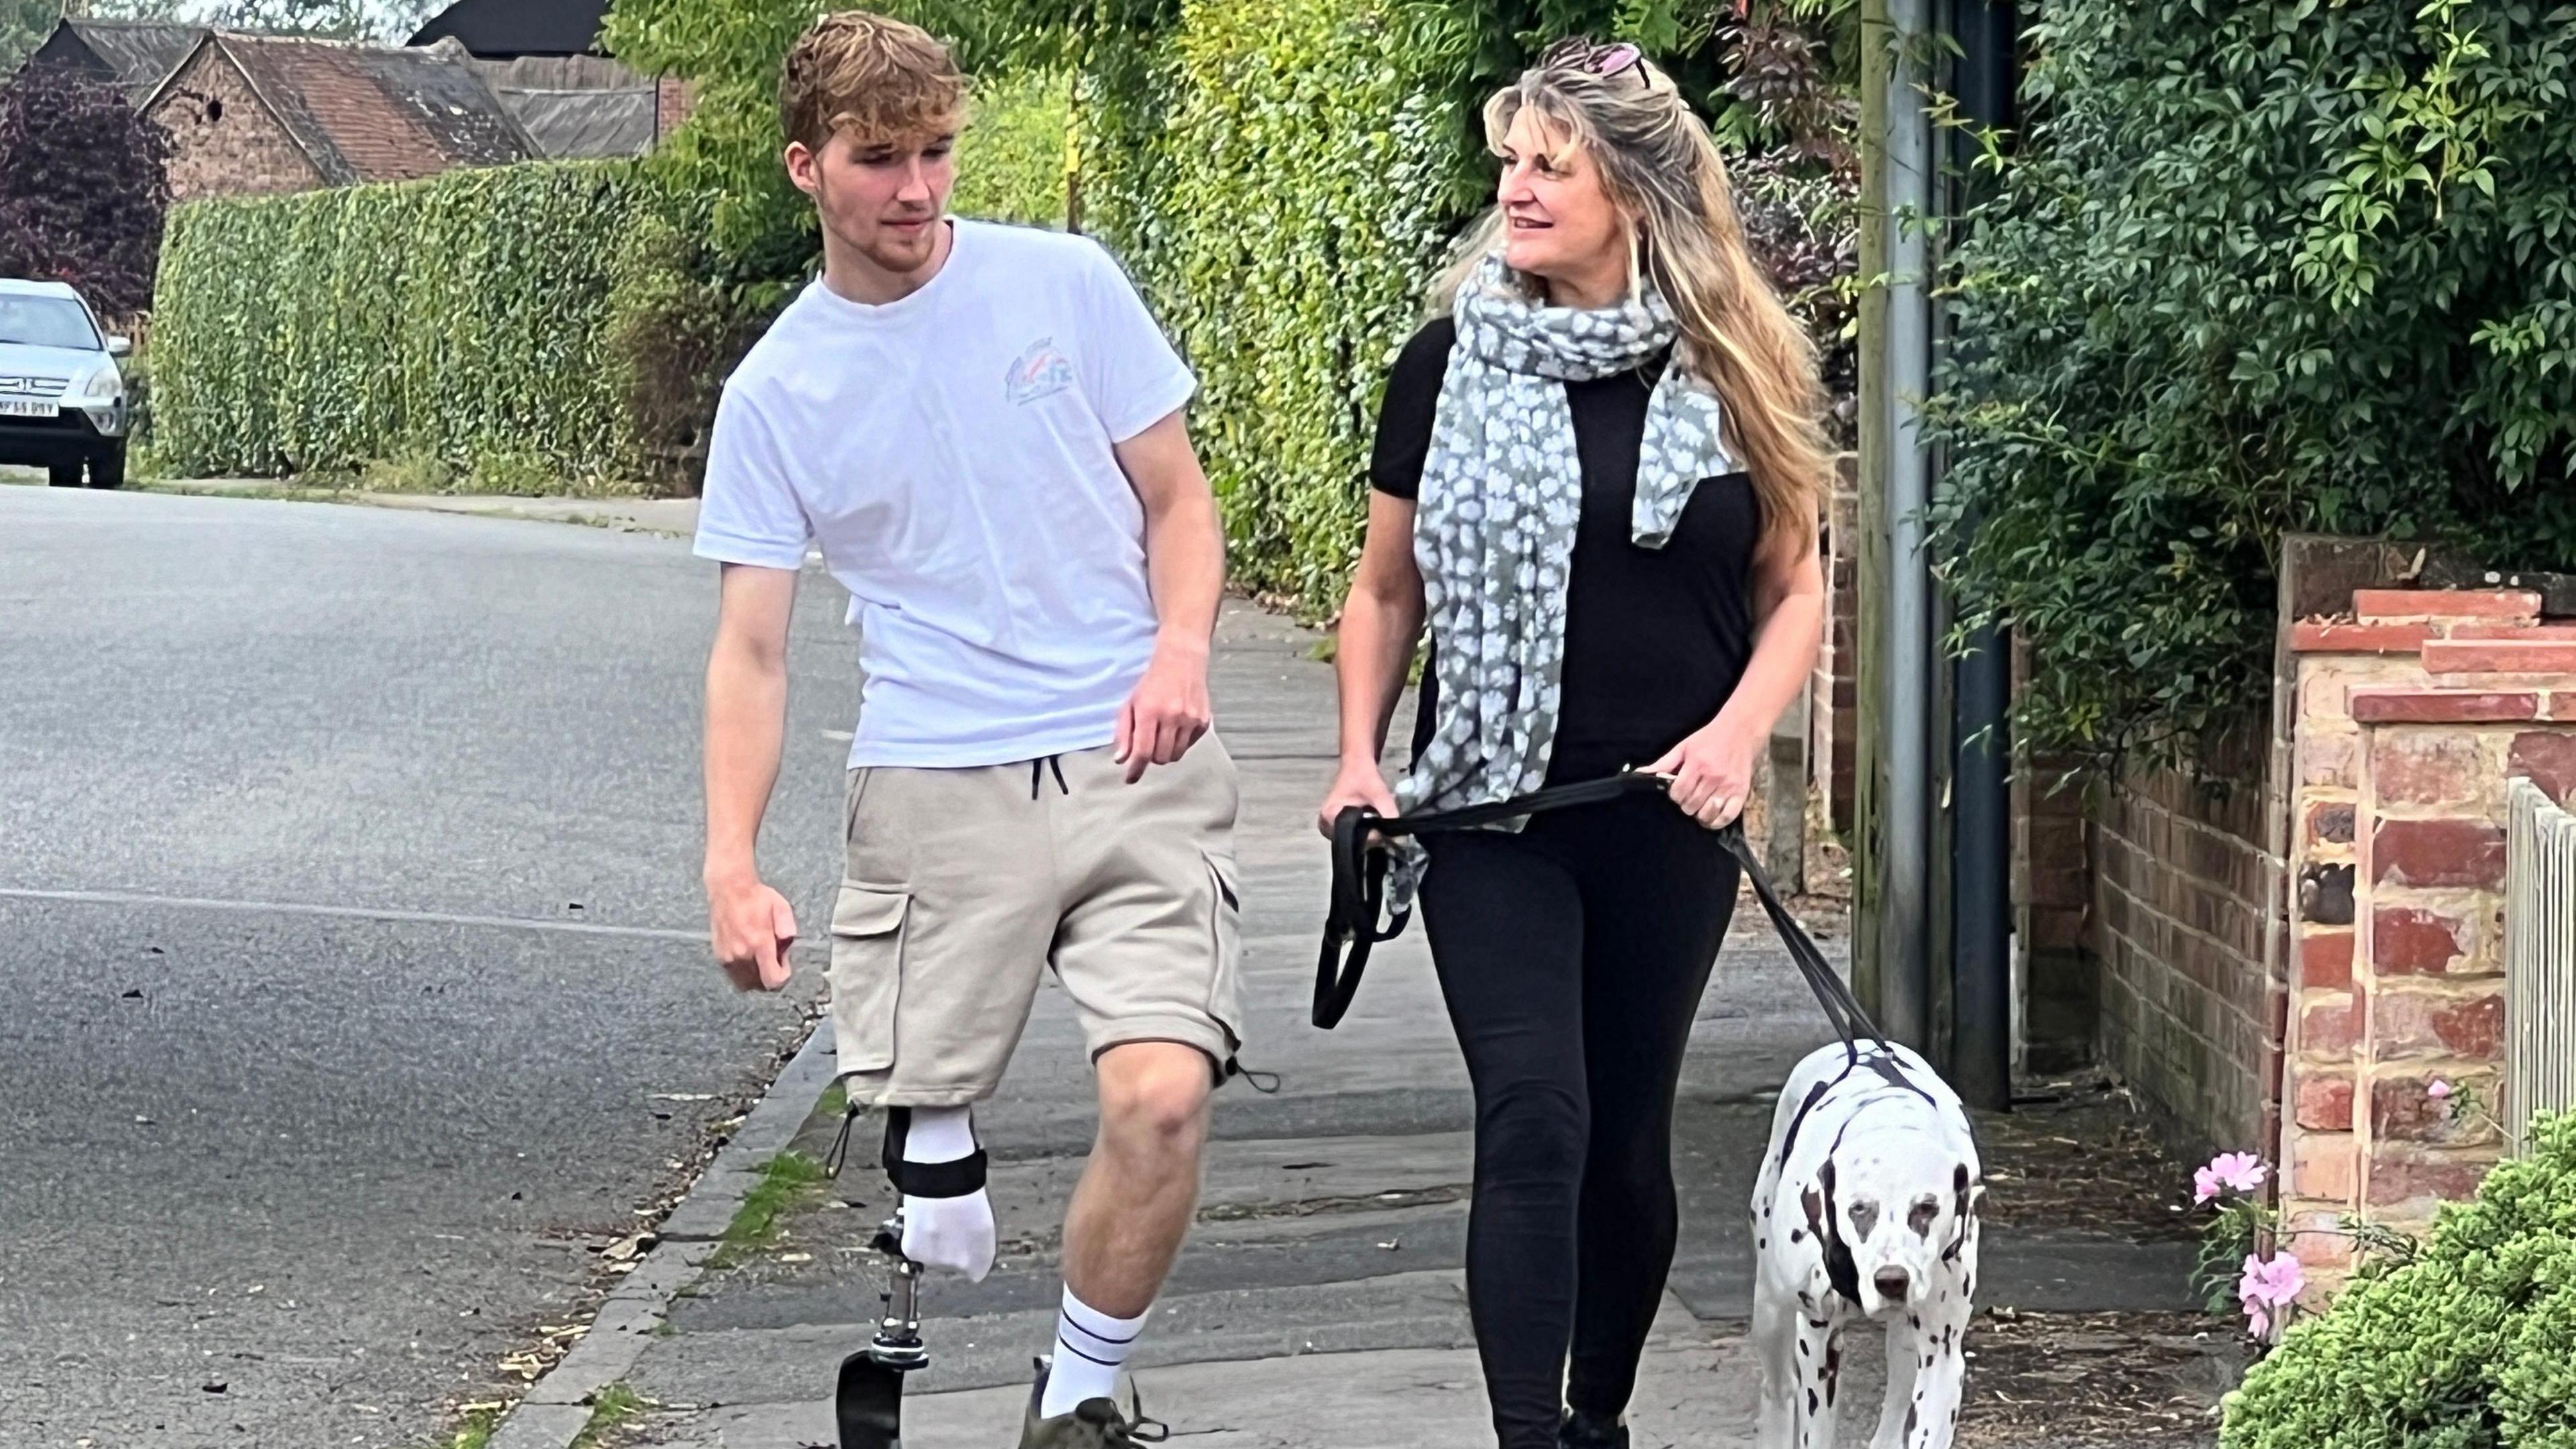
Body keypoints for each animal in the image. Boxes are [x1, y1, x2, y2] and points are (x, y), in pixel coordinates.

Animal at [1762, 1036, 1978, 1444]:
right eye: (1859, 1208)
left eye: (1927, 1207)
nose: (1892, 1280)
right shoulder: (1817, 1342)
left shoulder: (1942, 1354)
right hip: (1771, 1313)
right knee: (1778, 1392)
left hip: (1906, 1345)